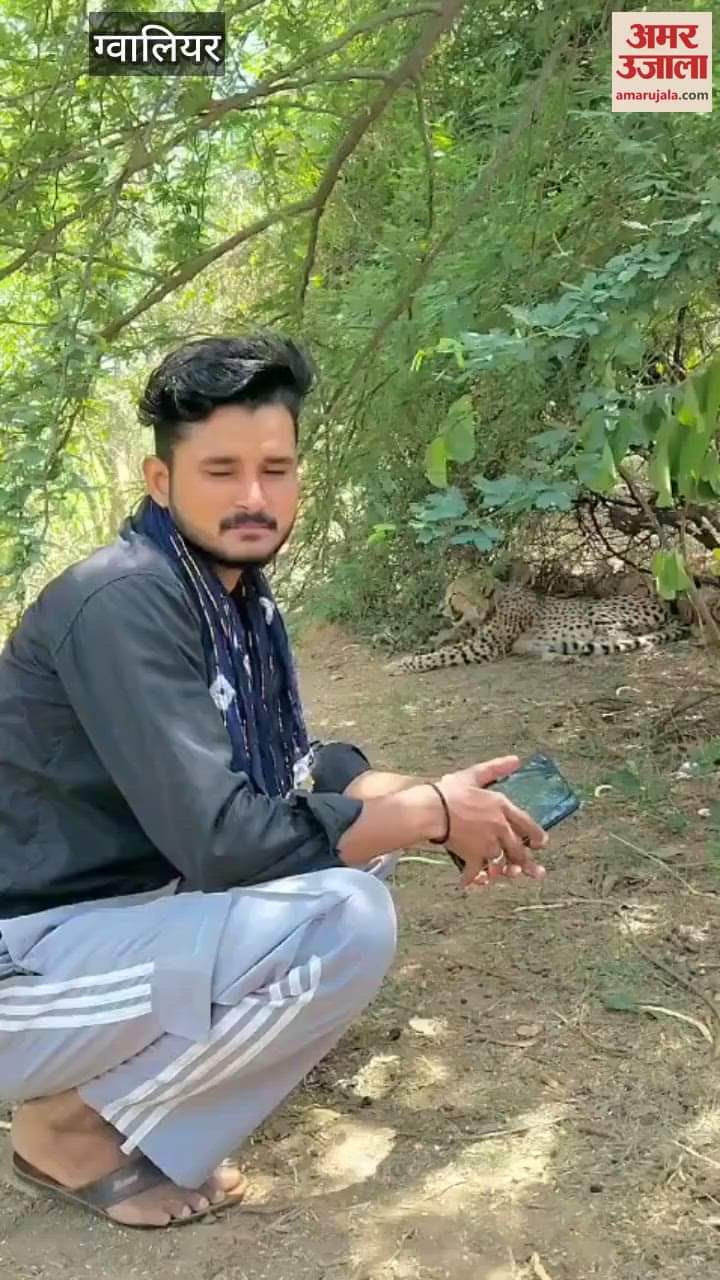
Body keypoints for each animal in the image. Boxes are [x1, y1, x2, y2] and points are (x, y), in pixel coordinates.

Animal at [384, 579, 715, 674]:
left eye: (454, 594)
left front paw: (402, 664)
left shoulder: (484, 647)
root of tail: (669, 610)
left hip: (599, 609)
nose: (441, 606)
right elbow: (444, 642)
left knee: (616, 639)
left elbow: (442, 655)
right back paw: (557, 654)